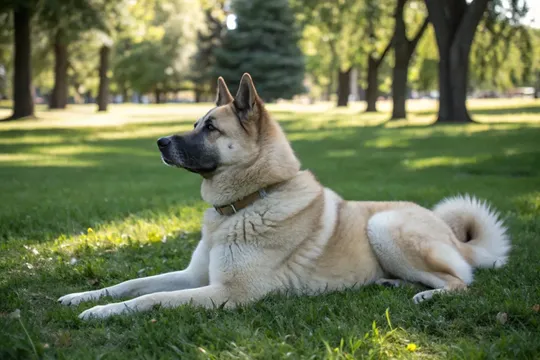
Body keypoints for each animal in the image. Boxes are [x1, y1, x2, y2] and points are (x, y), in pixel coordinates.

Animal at [59, 73, 510, 320]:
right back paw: (388, 282)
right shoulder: (194, 277)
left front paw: (99, 314)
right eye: (195, 123)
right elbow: (133, 284)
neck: (249, 202)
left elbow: (151, 299)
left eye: (211, 128)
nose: (159, 142)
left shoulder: (228, 294)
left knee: (460, 283)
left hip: (384, 225)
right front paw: (83, 297)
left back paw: (425, 294)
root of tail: (455, 238)